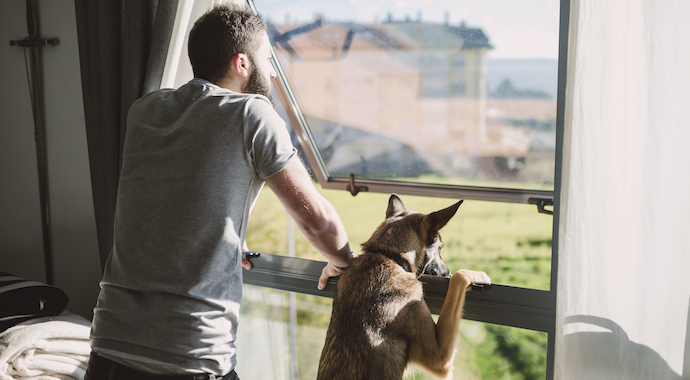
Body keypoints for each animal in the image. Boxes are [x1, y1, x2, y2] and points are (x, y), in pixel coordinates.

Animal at [318, 194, 490, 378]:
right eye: (440, 248)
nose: (447, 273)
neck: (389, 256)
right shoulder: (439, 357)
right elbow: (460, 276)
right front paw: (479, 275)